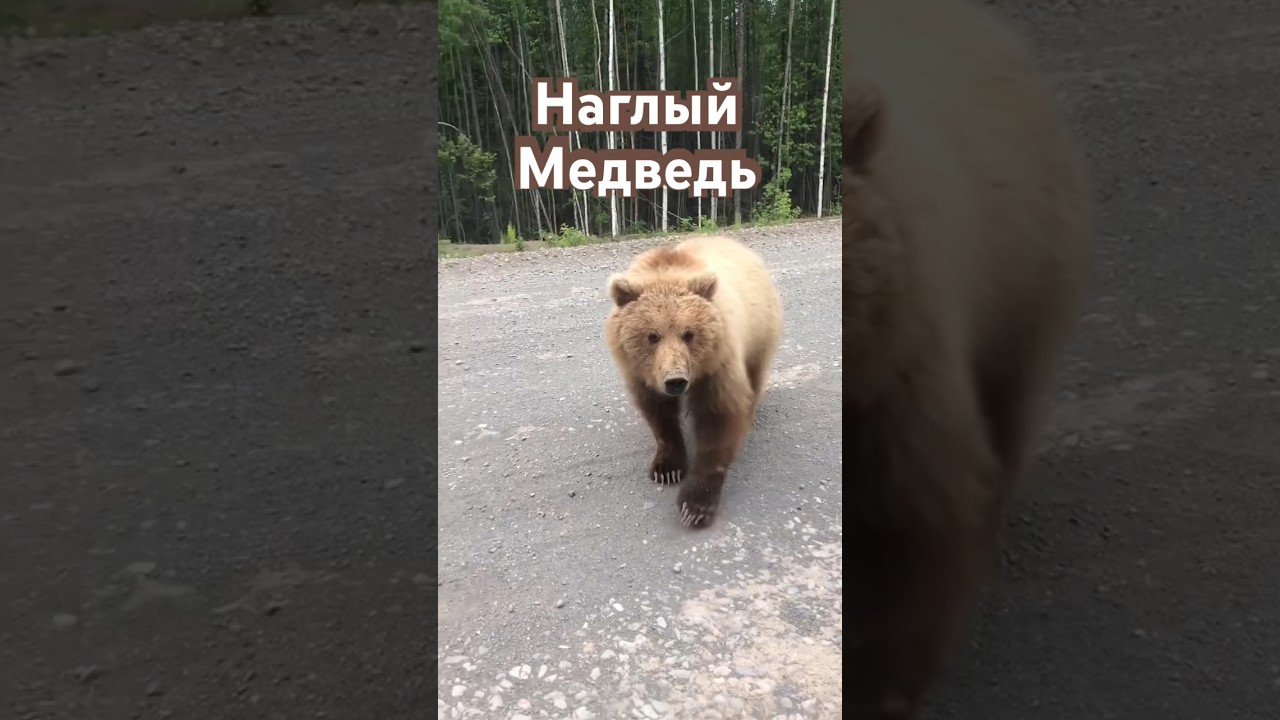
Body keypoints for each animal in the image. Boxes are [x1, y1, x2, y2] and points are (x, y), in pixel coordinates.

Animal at [603, 234, 783, 528]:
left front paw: (695, 505)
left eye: (689, 334)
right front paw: (667, 468)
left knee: (755, 376)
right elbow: (659, 415)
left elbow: (718, 420)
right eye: (652, 336)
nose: (675, 380)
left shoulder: (717, 367)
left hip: (760, 331)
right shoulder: (643, 376)